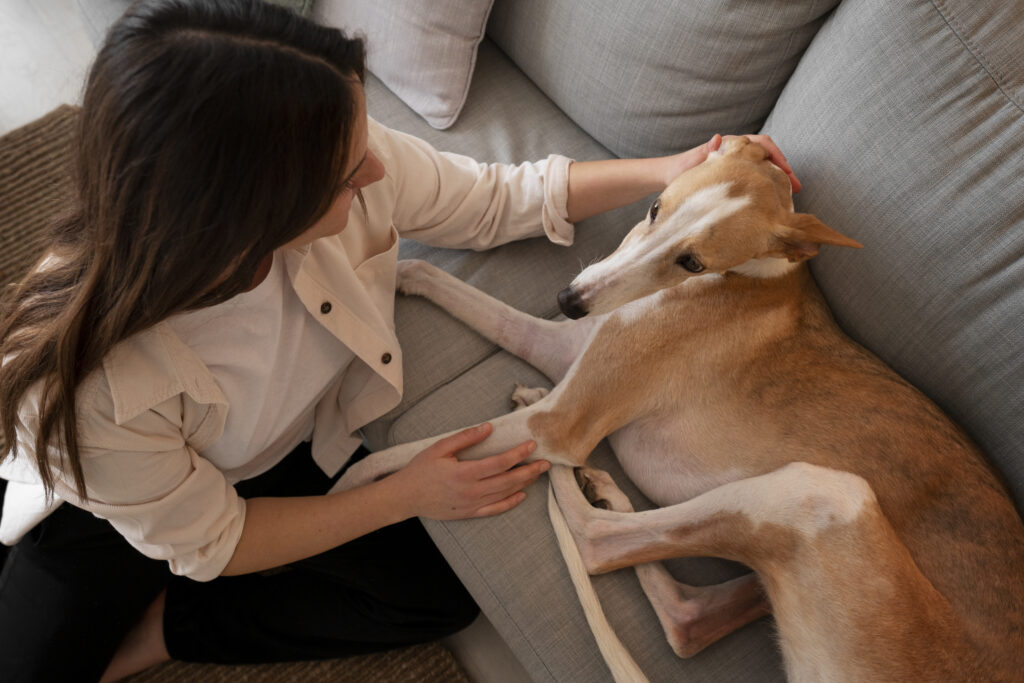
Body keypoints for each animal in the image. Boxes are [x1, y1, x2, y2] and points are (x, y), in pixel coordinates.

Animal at [335, 136, 1024, 679]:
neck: (752, 276)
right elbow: (450, 288)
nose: (568, 299)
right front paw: (394, 275)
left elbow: (401, 457)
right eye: (653, 207)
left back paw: (570, 483)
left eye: (692, 260)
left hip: (825, 496)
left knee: (598, 544)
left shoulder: (563, 418)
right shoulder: (566, 346)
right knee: (691, 616)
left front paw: (344, 493)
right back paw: (604, 489)